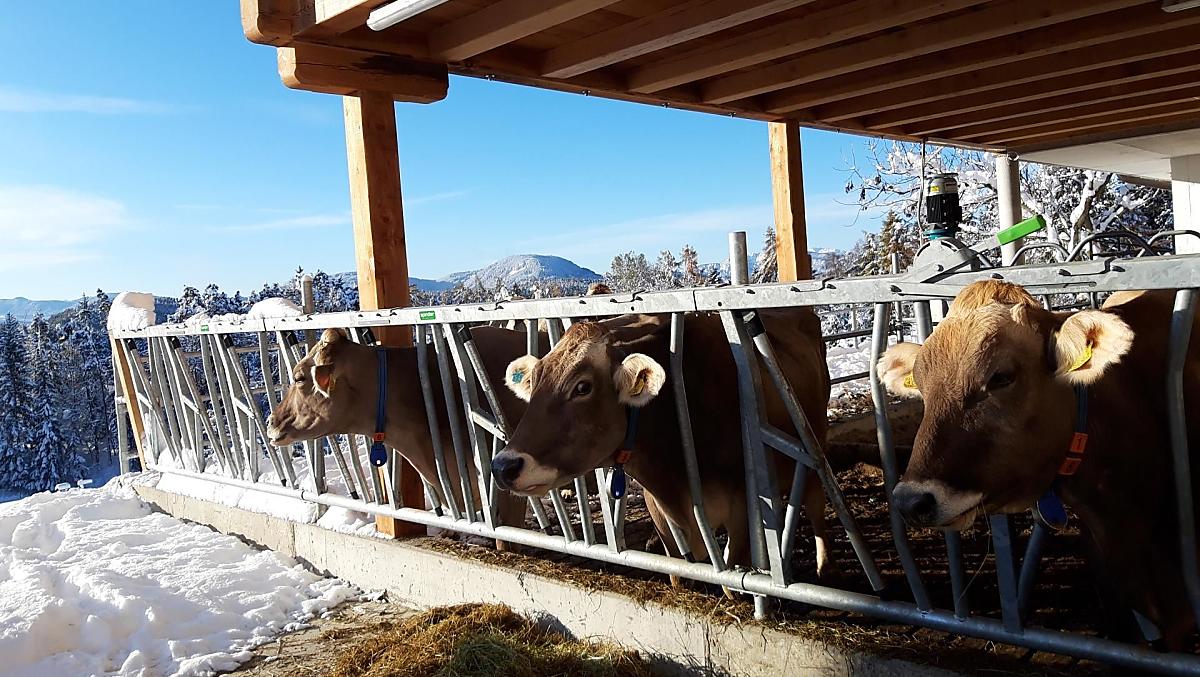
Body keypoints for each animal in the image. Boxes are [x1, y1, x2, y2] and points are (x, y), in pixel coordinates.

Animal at [490, 309, 838, 578]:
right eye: (535, 381)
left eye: (582, 387)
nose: (503, 466)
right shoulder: (661, 516)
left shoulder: (743, 511)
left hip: (813, 442)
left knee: (816, 504)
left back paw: (823, 567)